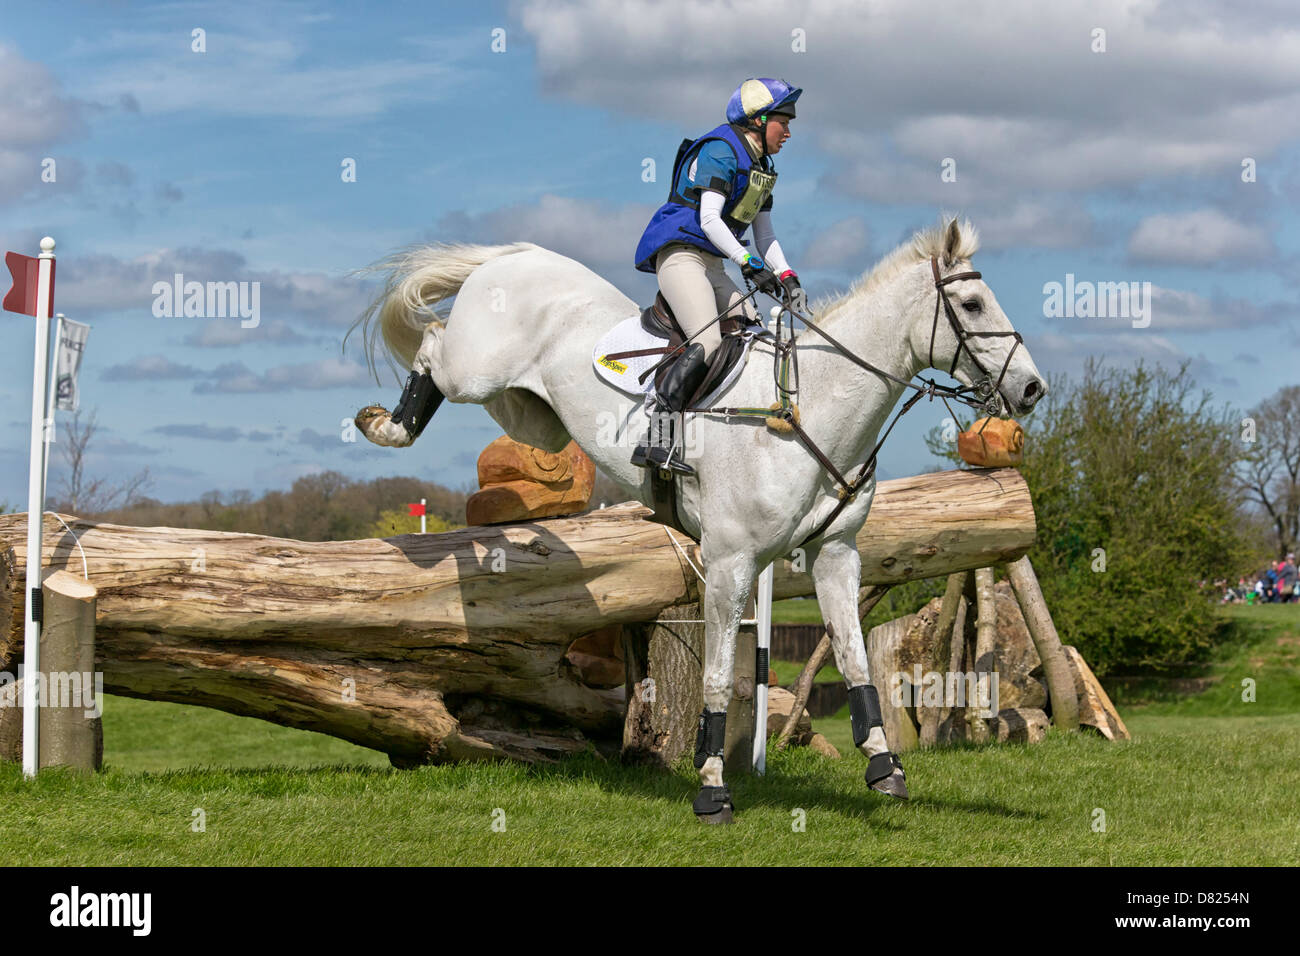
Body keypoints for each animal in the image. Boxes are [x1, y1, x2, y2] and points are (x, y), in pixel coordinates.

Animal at [349, 217, 1046, 823]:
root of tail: (518, 255)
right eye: (974, 305)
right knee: (432, 346)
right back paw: (386, 427)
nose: (1033, 389)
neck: (809, 410)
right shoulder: (731, 561)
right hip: (477, 369)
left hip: (533, 415)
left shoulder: (836, 555)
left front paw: (884, 769)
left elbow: (854, 660)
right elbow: (715, 678)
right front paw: (712, 791)